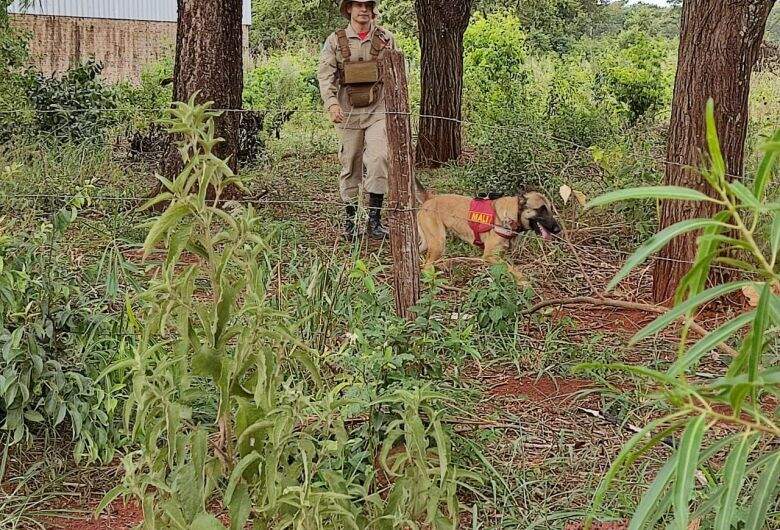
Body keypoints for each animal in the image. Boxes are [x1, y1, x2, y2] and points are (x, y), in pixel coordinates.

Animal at [414, 180, 560, 280]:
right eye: (541, 209)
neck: (511, 215)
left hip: (428, 242)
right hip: (438, 243)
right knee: (427, 266)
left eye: (550, 209)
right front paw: (524, 283)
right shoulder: (489, 256)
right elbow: (513, 270)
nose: (558, 229)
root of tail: (431, 198)